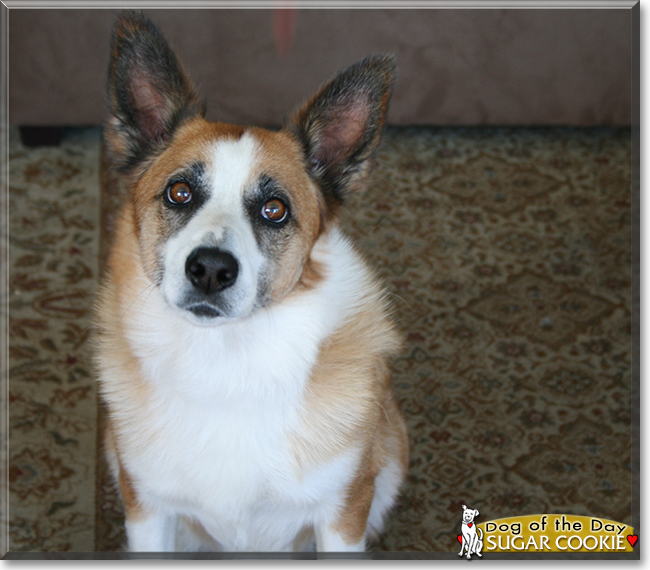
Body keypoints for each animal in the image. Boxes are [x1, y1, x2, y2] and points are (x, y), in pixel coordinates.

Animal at [94, 8, 408, 552]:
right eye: (179, 192)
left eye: (274, 209)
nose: (210, 270)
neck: (224, 365)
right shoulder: (148, 508)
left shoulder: (343, 514)